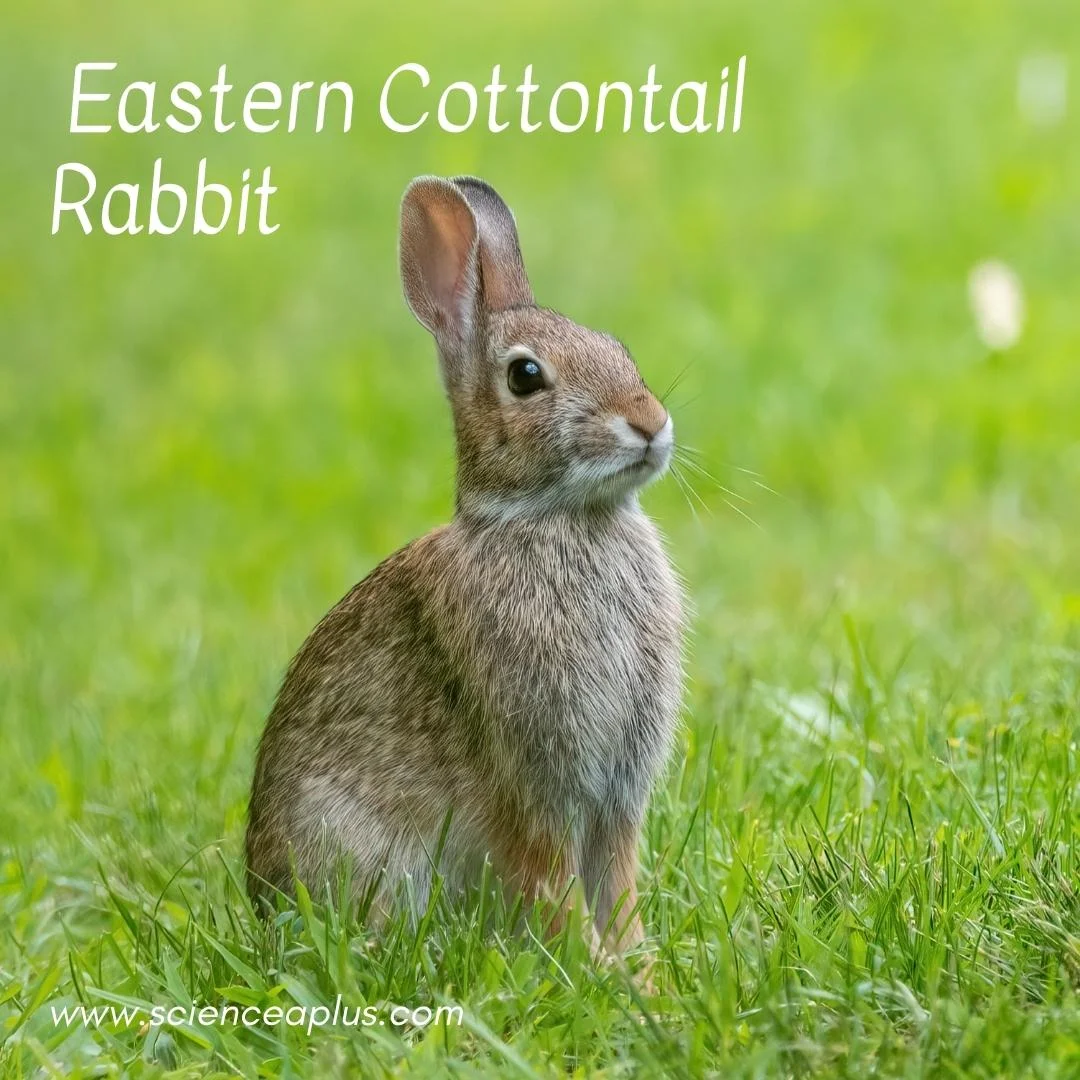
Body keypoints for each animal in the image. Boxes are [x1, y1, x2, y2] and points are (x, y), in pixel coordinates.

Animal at [245, 175, 684, 955]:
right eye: (526, 376)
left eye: (618, 347)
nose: (649, 422)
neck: (556, 517)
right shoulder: (534, 774)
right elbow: (550, 878)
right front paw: (595, 964)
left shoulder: (616, 799)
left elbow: (618, 884)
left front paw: (636, 967)